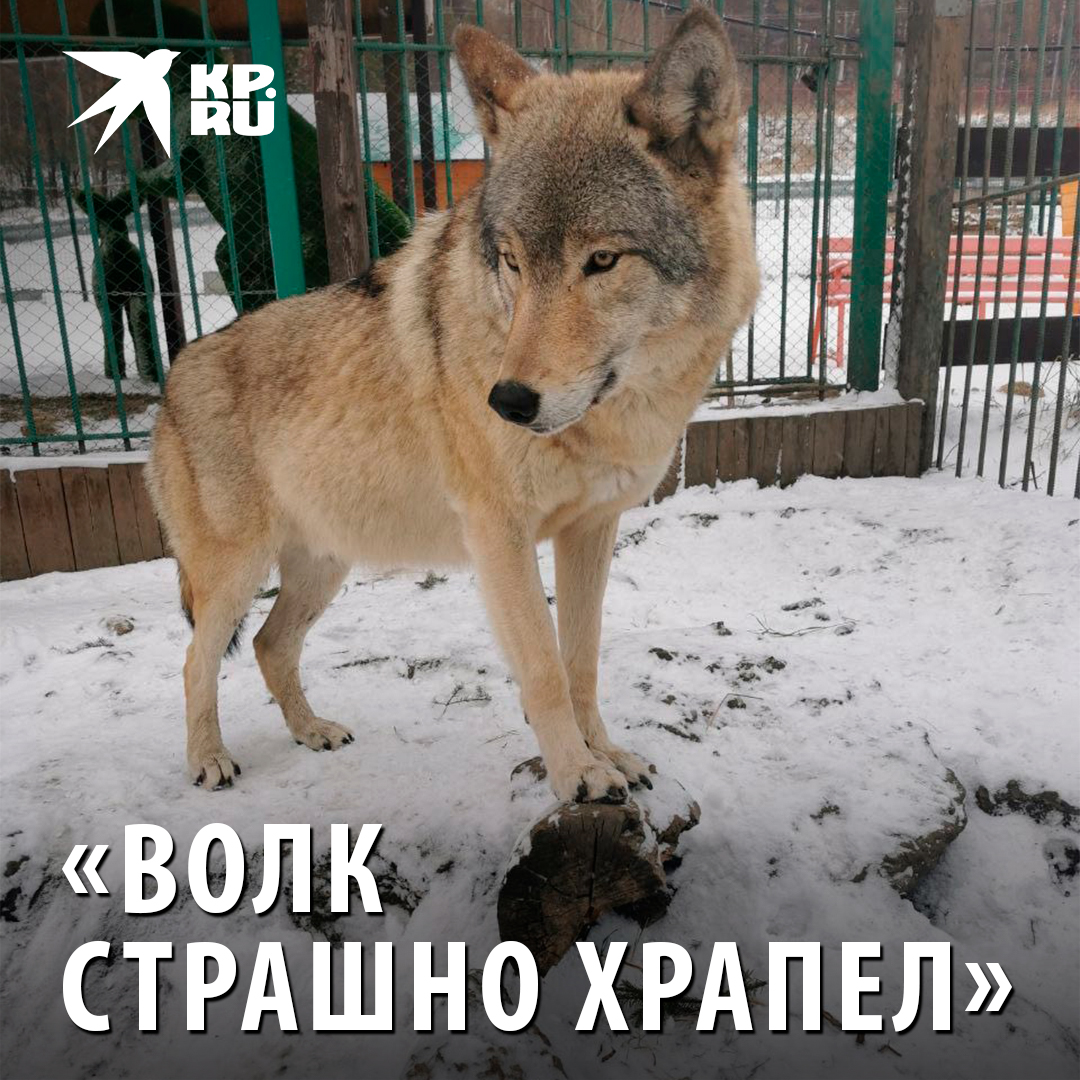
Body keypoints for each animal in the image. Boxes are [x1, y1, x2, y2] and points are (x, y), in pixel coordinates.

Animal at [146, 7, 759, 803]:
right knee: (197, 659)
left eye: (601, 260)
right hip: (236, 572)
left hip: (322, 567)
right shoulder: (499, 535)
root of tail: (171, 381)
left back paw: (312, 732)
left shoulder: (590, 531)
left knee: (268, 644)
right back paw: (209, 760)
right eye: (511, 262)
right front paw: (577, 776)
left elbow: (582, 661)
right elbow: (543, 670)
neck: (616, 418)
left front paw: (608, 755)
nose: (508, 400)